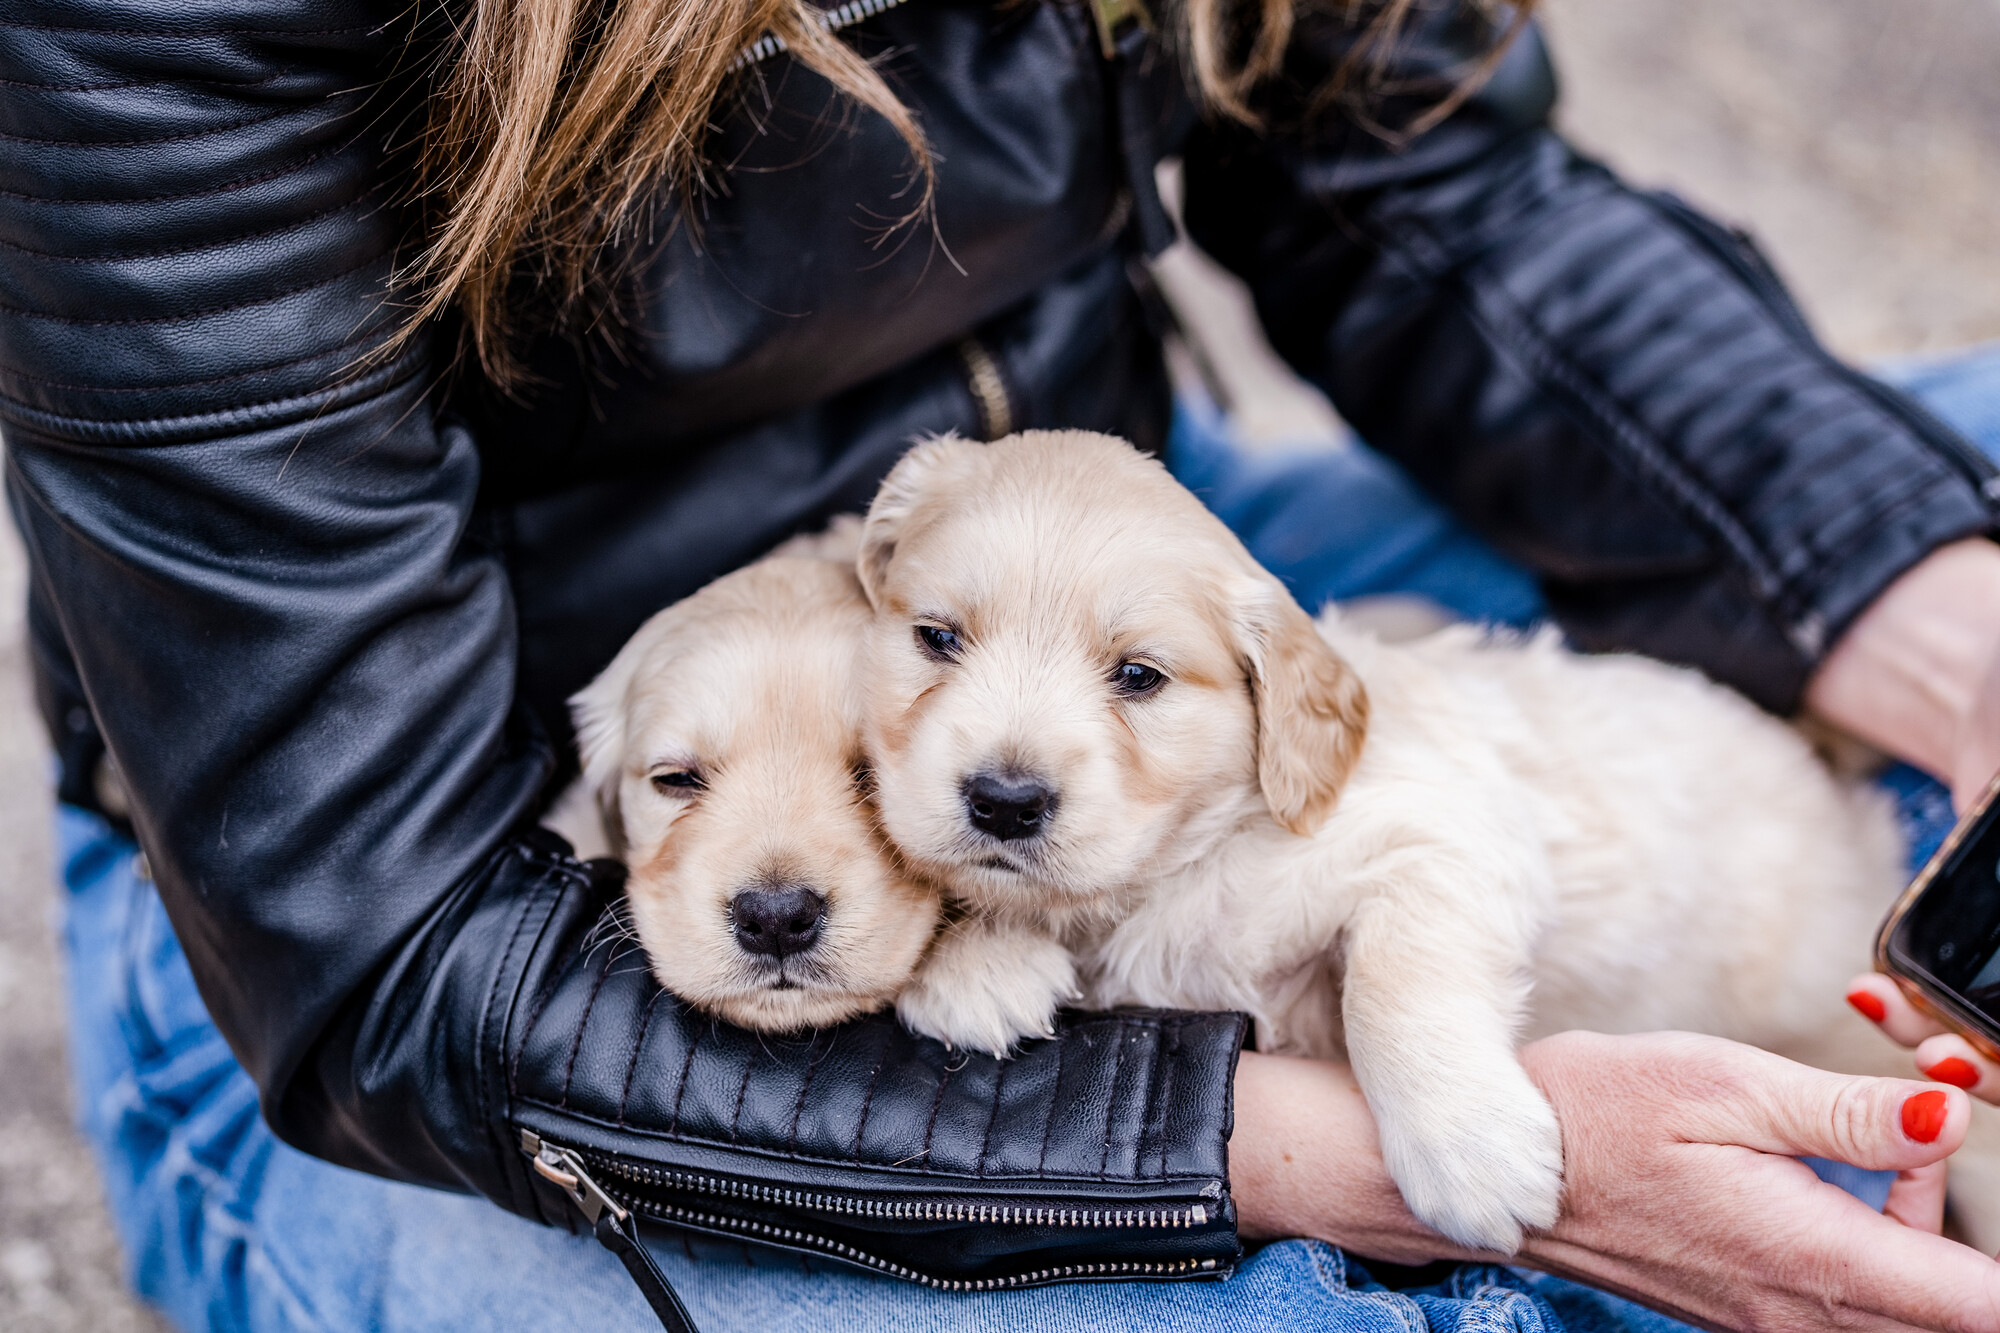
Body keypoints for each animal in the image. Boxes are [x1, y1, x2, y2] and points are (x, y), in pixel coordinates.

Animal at [860, 428, 2000, 1256]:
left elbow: (1390, 984)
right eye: (936, 639)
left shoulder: (1444, 839)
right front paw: (977, 960)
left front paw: (1470, 1154)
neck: (1195, 854)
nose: (1003, 801)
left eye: (1137, 676)